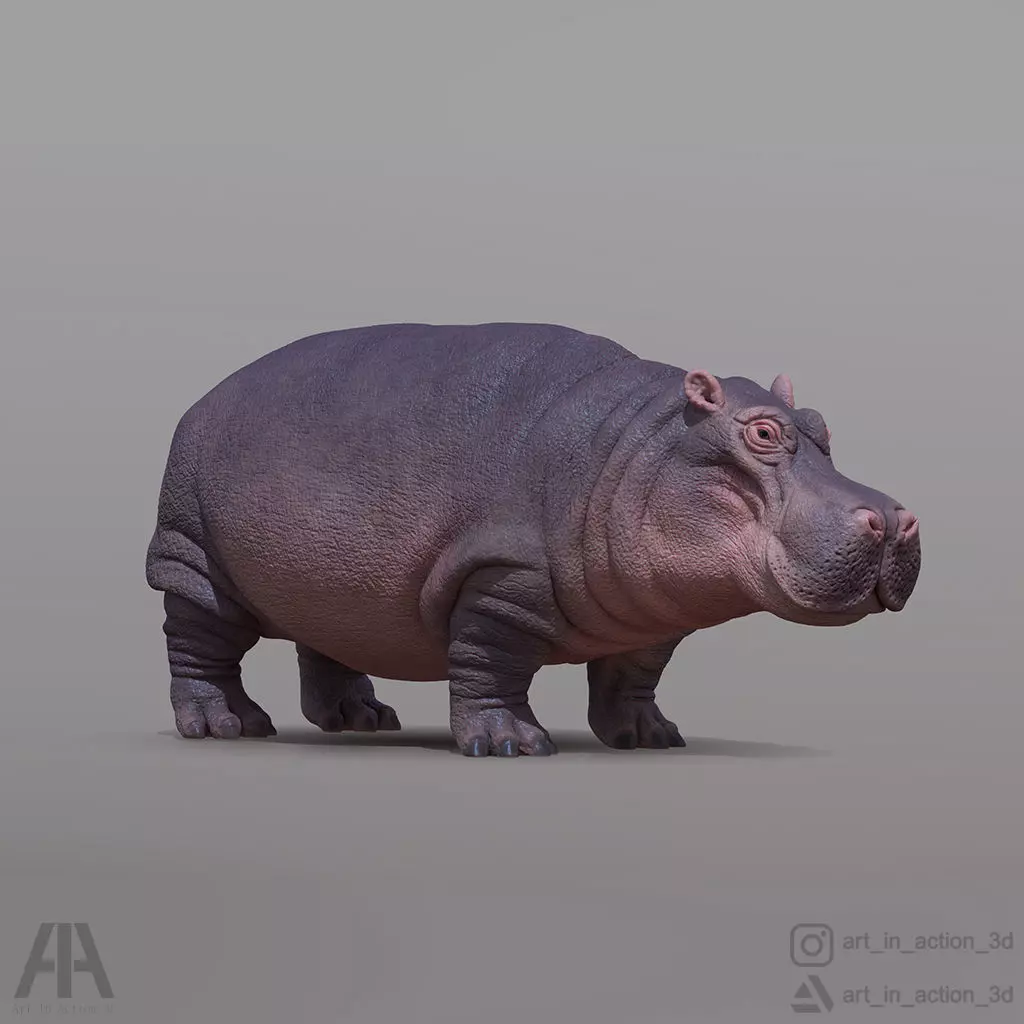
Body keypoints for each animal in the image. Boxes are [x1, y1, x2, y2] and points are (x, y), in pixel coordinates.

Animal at [145, 322, 921, 756]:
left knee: (326, 640)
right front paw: (510, 746)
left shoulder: (654, 610)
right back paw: (226, 726)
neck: (640, 444)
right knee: (199, 646)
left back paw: (363, 719)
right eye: (762, 432)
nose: (898, 518)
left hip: (328, 577)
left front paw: (652, 739)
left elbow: (634, 677)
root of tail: (204, 397)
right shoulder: (502, 580)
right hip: (191, 558)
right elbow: (493, 663)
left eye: (821, 424)